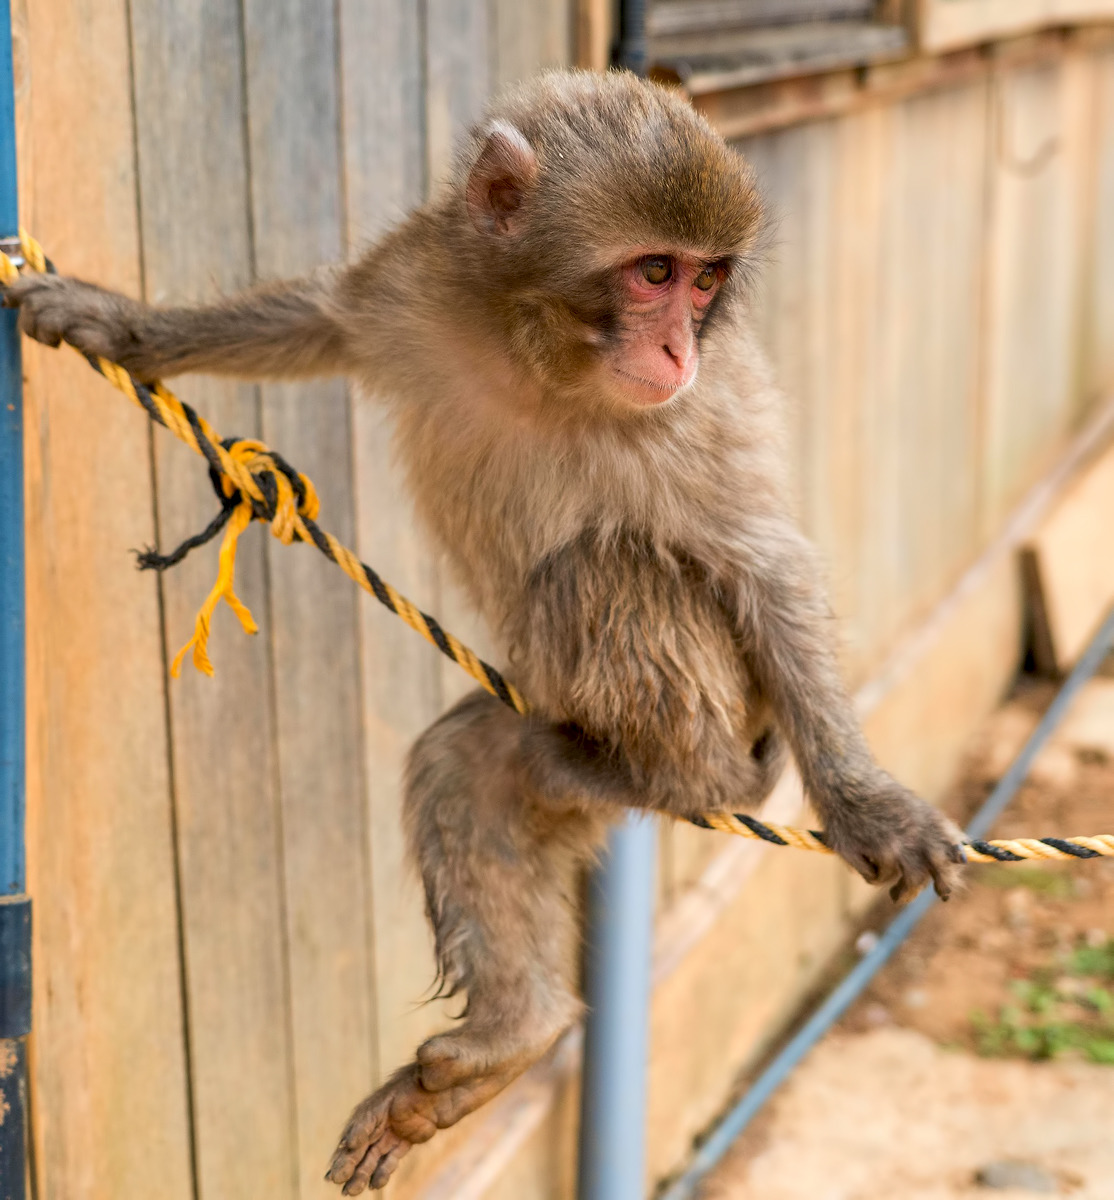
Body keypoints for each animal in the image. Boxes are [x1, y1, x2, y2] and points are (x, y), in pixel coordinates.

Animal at [7, 69, 964, 1194]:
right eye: (655, 272)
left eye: (705, 283)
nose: (680, 344)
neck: (539, 350)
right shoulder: (417, 285)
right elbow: (319, 318)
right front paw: (119, 325)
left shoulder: (695, 417)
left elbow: (763, 562)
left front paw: (867, 804)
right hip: (544, 740)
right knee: (467, 769)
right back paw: (520, 1029)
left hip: (732, 715)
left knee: (594, 572)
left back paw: (685, 782)